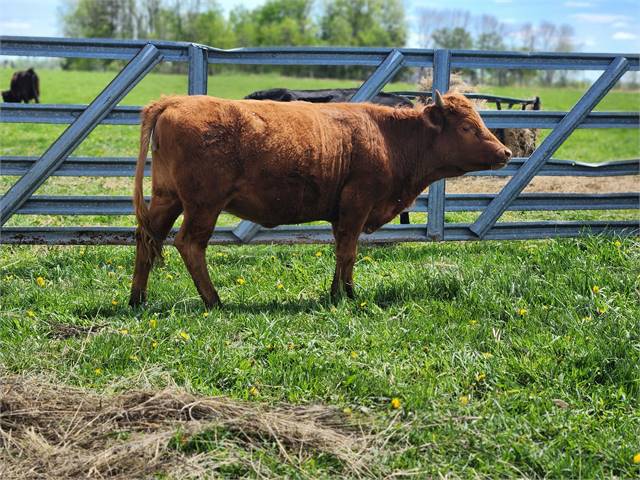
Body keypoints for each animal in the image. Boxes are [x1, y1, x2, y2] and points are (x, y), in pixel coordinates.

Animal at [129, 90, 510, 308]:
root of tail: (175, 101)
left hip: (166, 199)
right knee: (189, 244)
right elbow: (349, 252)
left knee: (147, 239)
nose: (505, 152)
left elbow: (342, 251)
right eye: (467, 127)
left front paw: (336, 292)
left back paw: (138, 299)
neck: (390, 137)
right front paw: (349, 296)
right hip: (203, 205)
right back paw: (213, 300)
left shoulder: (342, 214)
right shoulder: (358, 203)